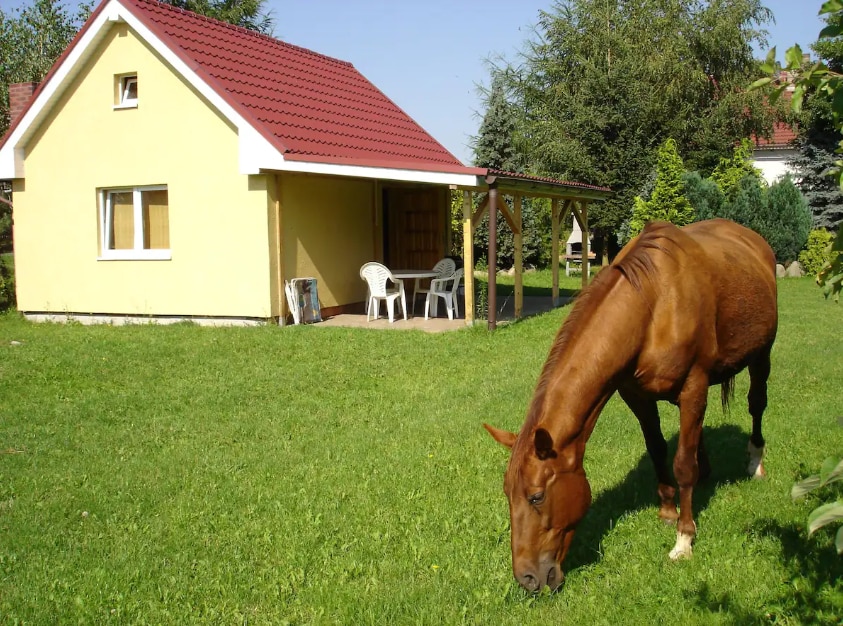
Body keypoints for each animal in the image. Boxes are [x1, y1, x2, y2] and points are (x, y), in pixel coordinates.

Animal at [484, 218, 780, 588]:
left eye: (536, 496)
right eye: (507, 493)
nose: (528, 579)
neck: (654, 306)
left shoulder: (693, 387)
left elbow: (683, 465)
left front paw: (684, 538)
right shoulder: (637, 396)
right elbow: (657, 448)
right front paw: (668, 510)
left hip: (761, 355)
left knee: (756, 405)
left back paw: (755, 463)